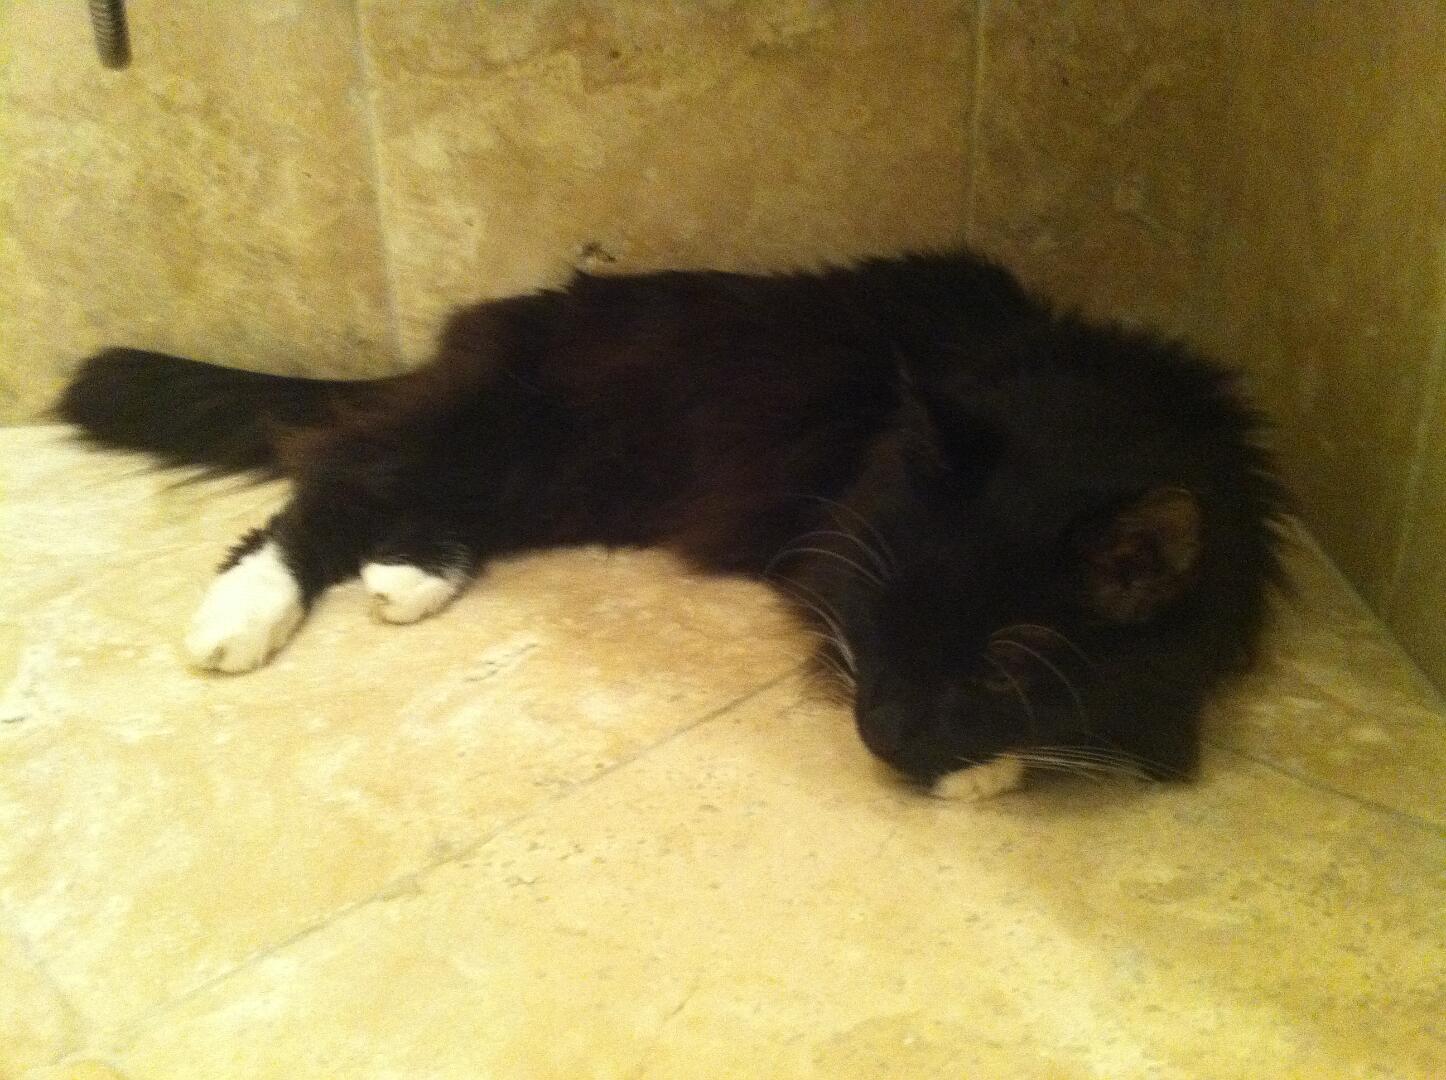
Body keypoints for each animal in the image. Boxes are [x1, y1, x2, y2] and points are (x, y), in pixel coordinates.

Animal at [57, 249, 1288, 800]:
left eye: (1000, 666)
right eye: (885, 614)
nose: (881, 737)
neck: (1082, 400)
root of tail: (488, 323)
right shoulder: (828, 552)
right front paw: (978, 770)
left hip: (544, 477)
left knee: (398, 504)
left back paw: (410, 578)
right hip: (498, 435)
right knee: (326, 490)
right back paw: (238, 621)